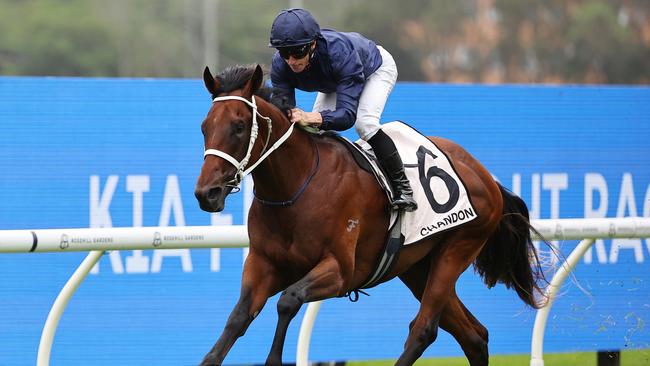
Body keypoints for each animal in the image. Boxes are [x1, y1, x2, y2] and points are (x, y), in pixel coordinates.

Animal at [191, 65, 540, 366]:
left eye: (238, 126)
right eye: (205, 127)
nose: (207, 193)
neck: (294, 189)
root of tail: (484, 174)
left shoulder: (340, 270)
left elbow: (288, 301)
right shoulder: (264, 263)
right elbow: (238, 317)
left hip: (457, 250)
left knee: (424, 329)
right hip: (418, 267)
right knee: (474, 336)